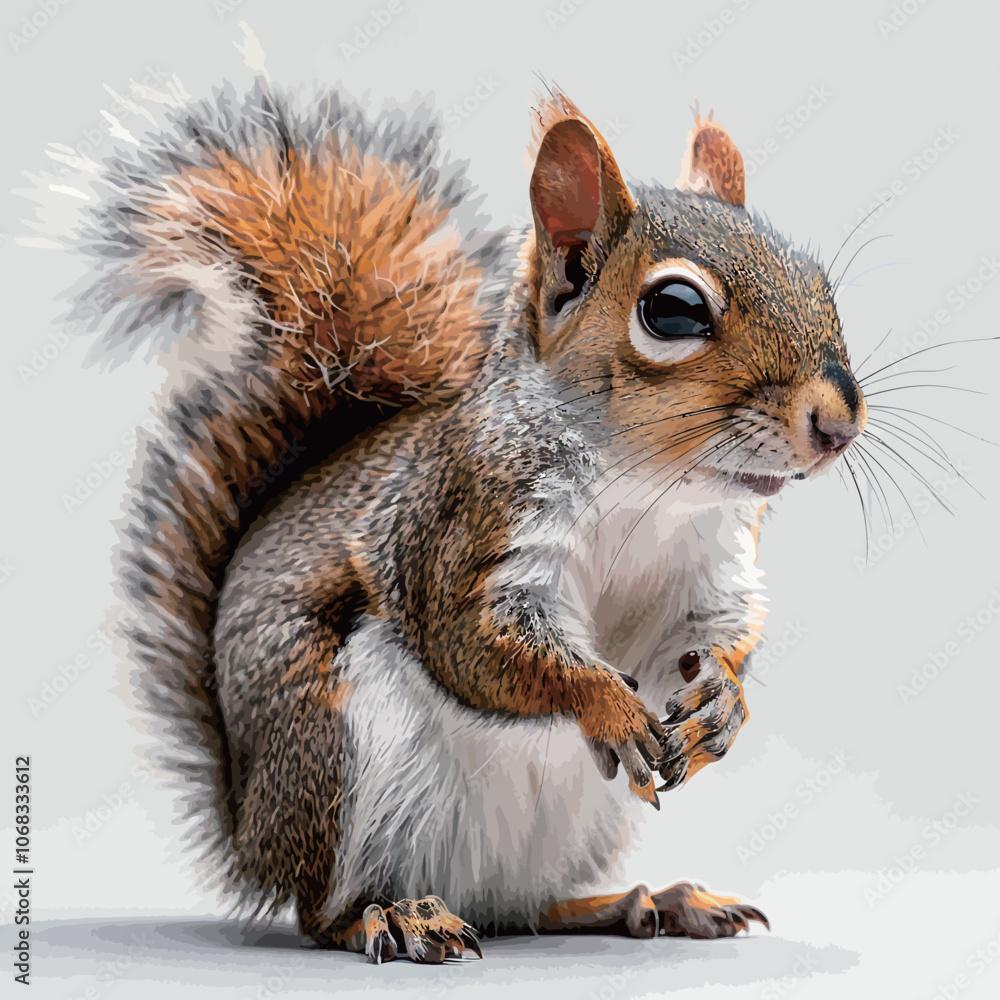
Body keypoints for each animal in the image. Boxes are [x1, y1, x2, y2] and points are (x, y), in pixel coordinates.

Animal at [71, 82, 866, 962]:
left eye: (818, 282)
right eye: (673, 309)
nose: (838, 423)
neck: (650, 492)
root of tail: (252, 832)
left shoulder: (713, 566)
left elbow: (713, 637)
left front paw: (724, 701)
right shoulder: (463, 529)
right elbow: (478, 645)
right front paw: (607, 703)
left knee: (524, 908)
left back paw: (645, 900)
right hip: (333, 758)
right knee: (323, 913)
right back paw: (392, 915)